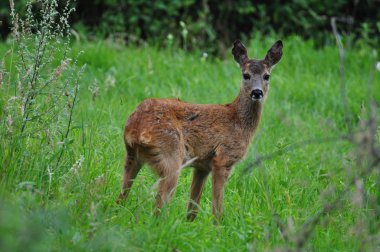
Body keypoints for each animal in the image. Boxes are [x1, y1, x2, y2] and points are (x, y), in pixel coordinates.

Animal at [117, 39, 284, 220]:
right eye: (245, 75)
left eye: (267, 76)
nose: (257, 92)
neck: (238, 122)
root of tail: (136, 127)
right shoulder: (223, 159)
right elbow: (217, 209)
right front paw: (218, 226)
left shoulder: (202, 166)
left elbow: (192, 208)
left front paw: (189, 223)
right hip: (171, 155)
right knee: (158, 206)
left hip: (132, 156)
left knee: (121, 197)